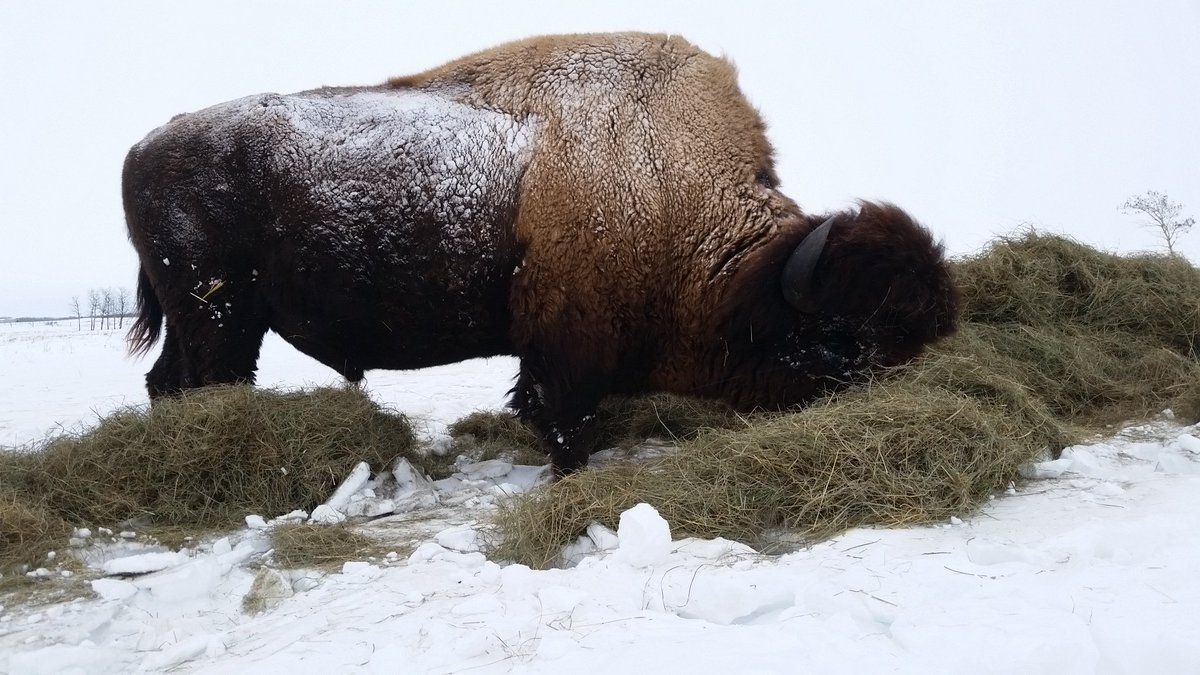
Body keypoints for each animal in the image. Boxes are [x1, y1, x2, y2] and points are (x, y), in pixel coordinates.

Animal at [124, 32, 959, 474]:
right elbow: (563, 422)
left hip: (206, 323)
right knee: (208, 385)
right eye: (853, 343)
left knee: (166, 383)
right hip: (222, 319)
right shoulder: (567, 350)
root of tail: (144, 144)